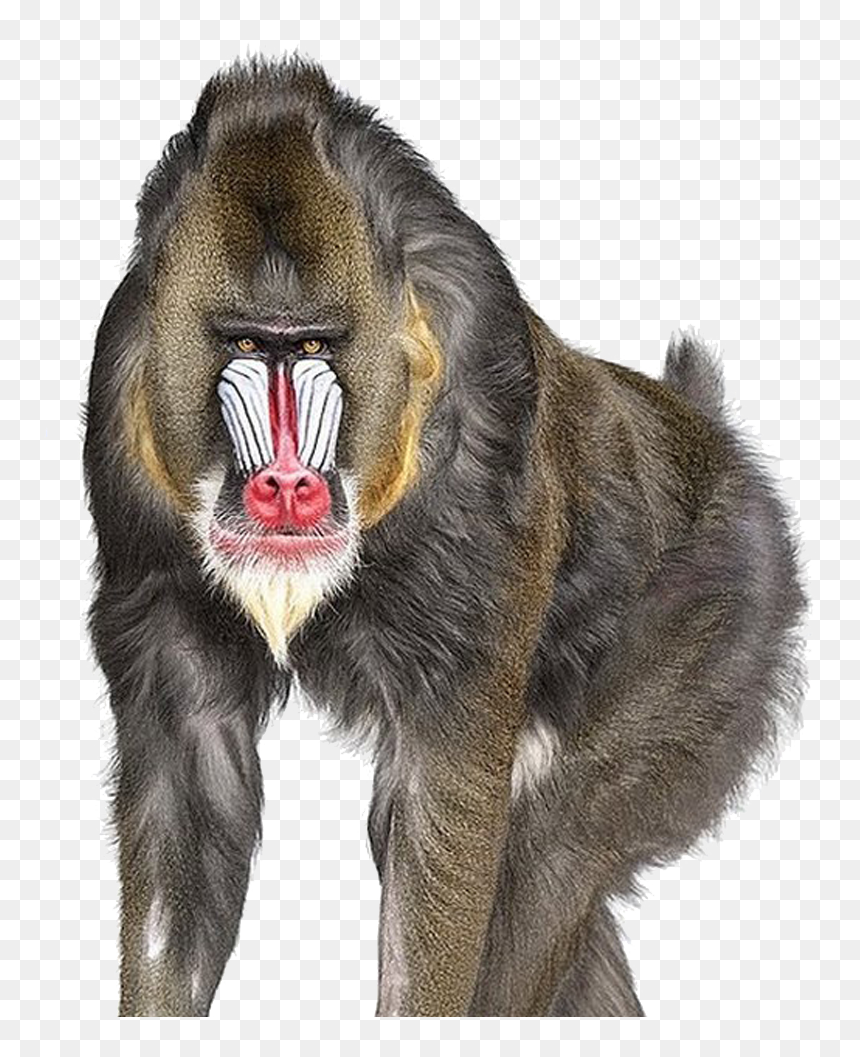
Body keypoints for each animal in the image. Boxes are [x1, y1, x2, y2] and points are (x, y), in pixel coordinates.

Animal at [83, 55, 806, 1018]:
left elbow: (444, 810)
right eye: (243, 344)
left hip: (709, 636)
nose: (286, 488)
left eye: (312, 347)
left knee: (549, 845)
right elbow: (187, 795)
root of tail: (709, 430)